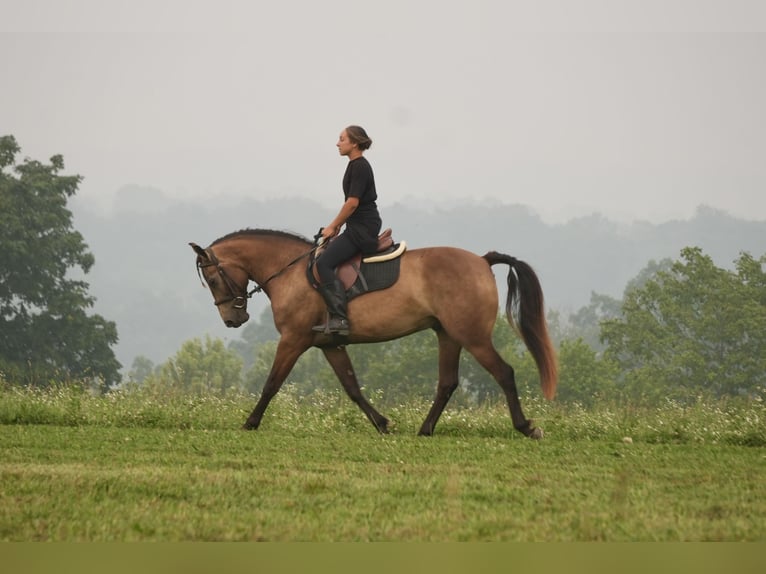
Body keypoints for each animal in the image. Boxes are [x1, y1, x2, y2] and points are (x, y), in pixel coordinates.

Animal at [190, 229, 557, 438]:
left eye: (213, 279)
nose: (233, 319)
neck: (290, 272)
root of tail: (482, 261)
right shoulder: (330, 345)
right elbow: (352, 387)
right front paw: (382, 424)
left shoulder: (294, 339)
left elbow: (271, 383)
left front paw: (250, 422)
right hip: (449, 335)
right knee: (447, 382)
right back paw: (425, 429)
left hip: (473, 337)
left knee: (504, 373)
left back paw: (526, 427)